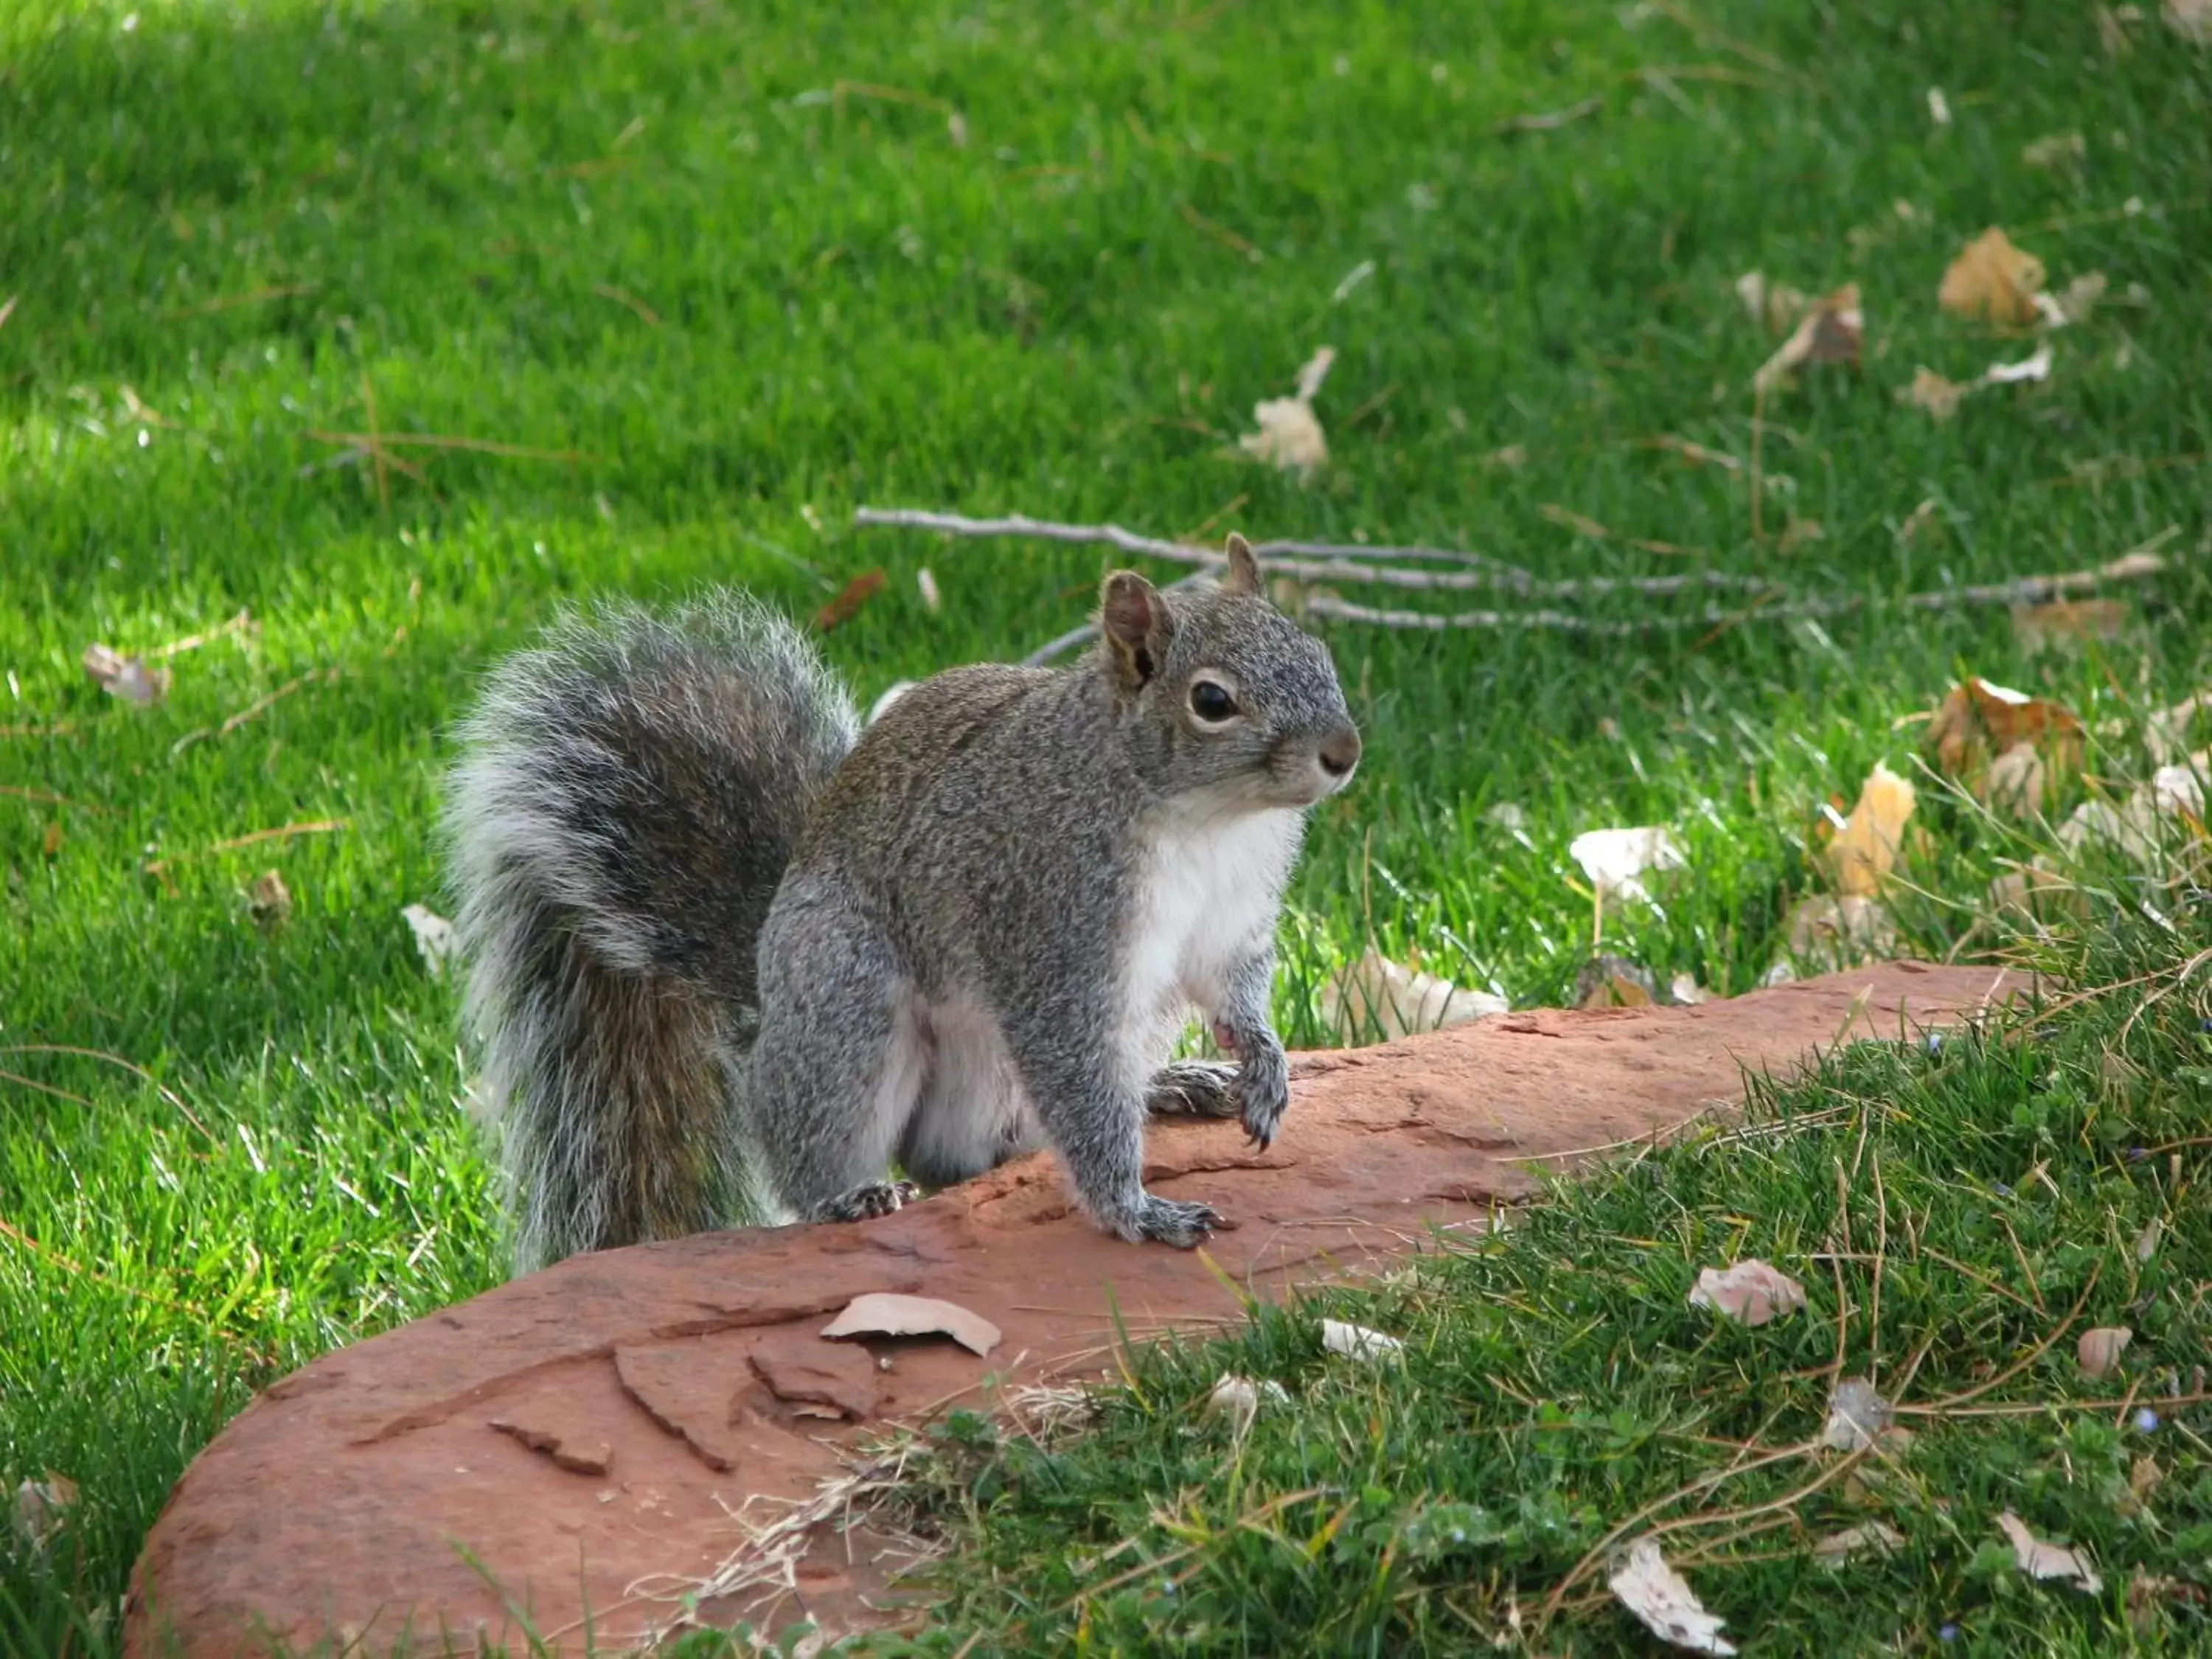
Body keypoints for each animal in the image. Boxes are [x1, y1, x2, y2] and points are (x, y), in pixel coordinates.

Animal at [440, 533, 1354, 1274]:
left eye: (1319, 654)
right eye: (1212, 700)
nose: (1344, 753)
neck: (1210, 821)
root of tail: (764, 1002)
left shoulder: (1229, 919)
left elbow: (1235, 987)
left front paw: (1262, 1063)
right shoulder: (1052, 920)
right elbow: (1074, 1069)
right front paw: (1133, 1210)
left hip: (1128, 1018)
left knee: (992, 1152)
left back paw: (1172, 1084)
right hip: (847, 1016)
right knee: (834, 1149)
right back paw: (846, 1197)